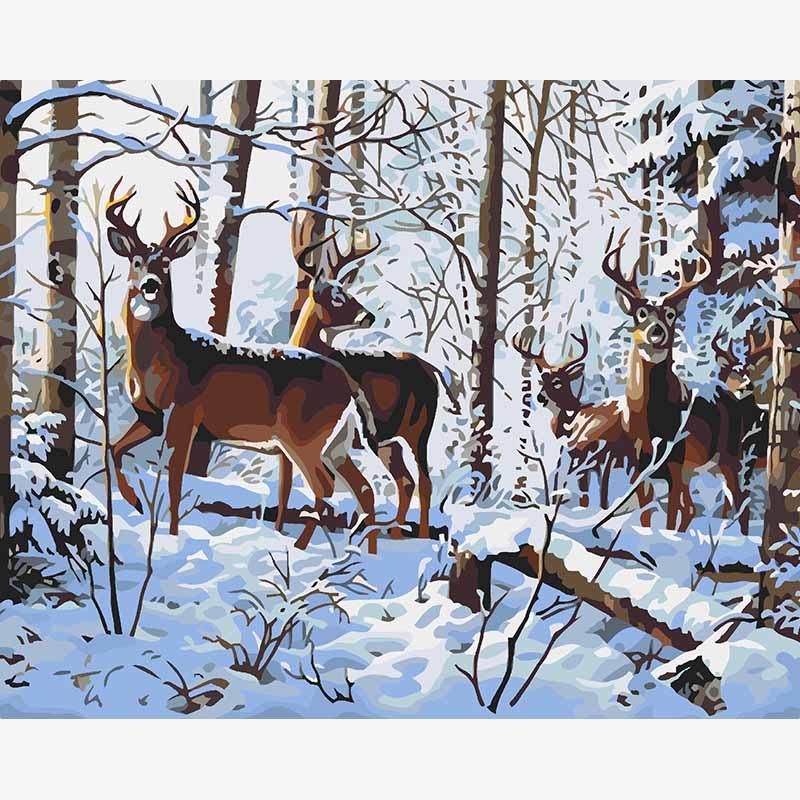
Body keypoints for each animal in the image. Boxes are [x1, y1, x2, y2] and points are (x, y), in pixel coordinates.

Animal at [105, 180, 383, 553]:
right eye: (136, 261)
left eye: (165, 264)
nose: (149, 285)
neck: (163, 360)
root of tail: (348, 383)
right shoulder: (149, 415)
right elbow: (115, 449)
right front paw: (134, 501)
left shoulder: (185, 412)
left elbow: (176, 481)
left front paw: (172, 535)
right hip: (334, 442)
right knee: (363, 489)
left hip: (303, 436)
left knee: (325, 488)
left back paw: (297, 549)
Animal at [275, 213, 458, 541]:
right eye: (336, 296)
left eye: (349, 291)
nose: (368, 316)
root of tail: (432, 369)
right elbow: (284, 489)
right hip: (386, 440)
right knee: (406, 481)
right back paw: (396, 532)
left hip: (419, 430)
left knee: (423, 482)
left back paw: (420, 535)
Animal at [602, 228, 746, 533]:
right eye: (640, 313)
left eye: (670, 314)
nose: (657, 332)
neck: (649, 421)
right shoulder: (641, 462)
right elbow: (646, 514)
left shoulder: (675, 458)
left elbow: (670, 515)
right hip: (698, 467)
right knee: (692, 508)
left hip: (728, 456)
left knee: (737, 498)